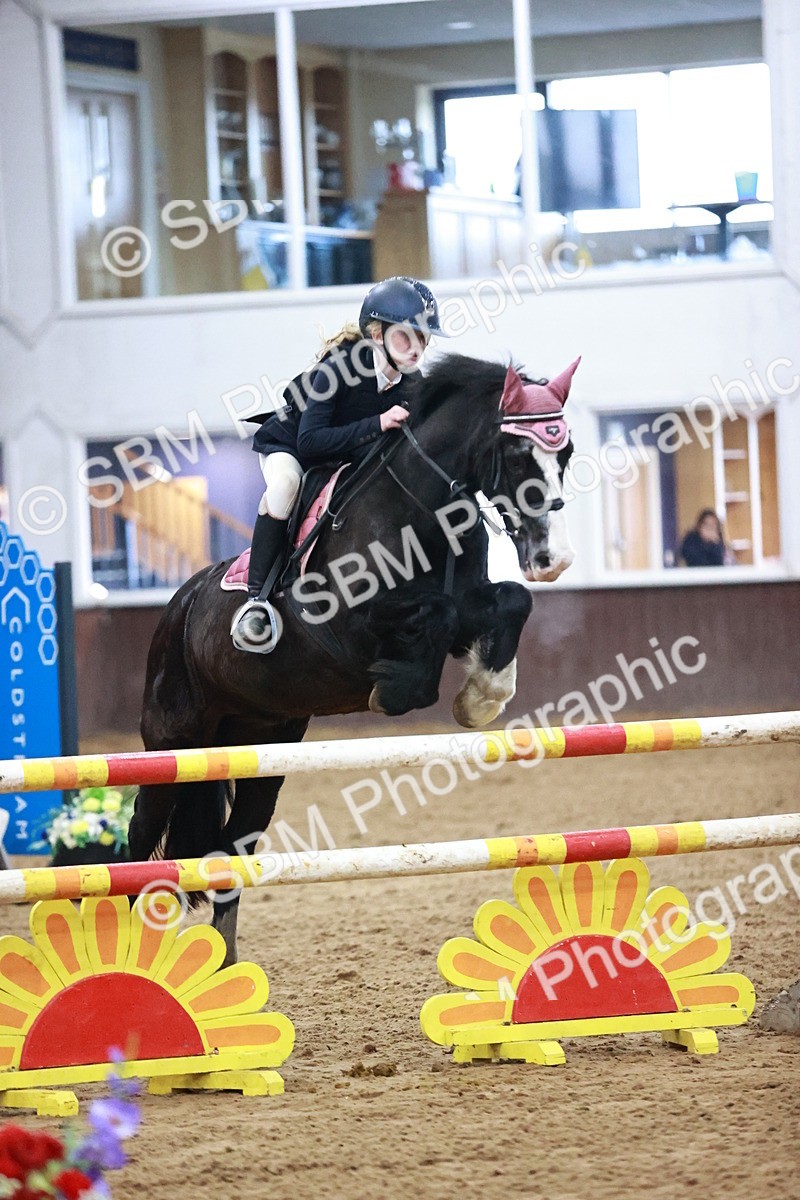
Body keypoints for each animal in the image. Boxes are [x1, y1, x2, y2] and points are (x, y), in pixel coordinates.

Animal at [129, 352, 577, 963]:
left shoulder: (471, 604)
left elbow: (509, 600)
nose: (554, 558)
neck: (420, 508)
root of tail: (180, 603)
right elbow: (435, 616)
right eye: (514, 455)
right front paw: (399, 691)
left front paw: (482, 697)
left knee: (231, 847)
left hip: (262, 744)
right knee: (137, 842)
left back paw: (225, 966)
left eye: (566, 454)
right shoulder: (346, 628)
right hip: (173, 745)